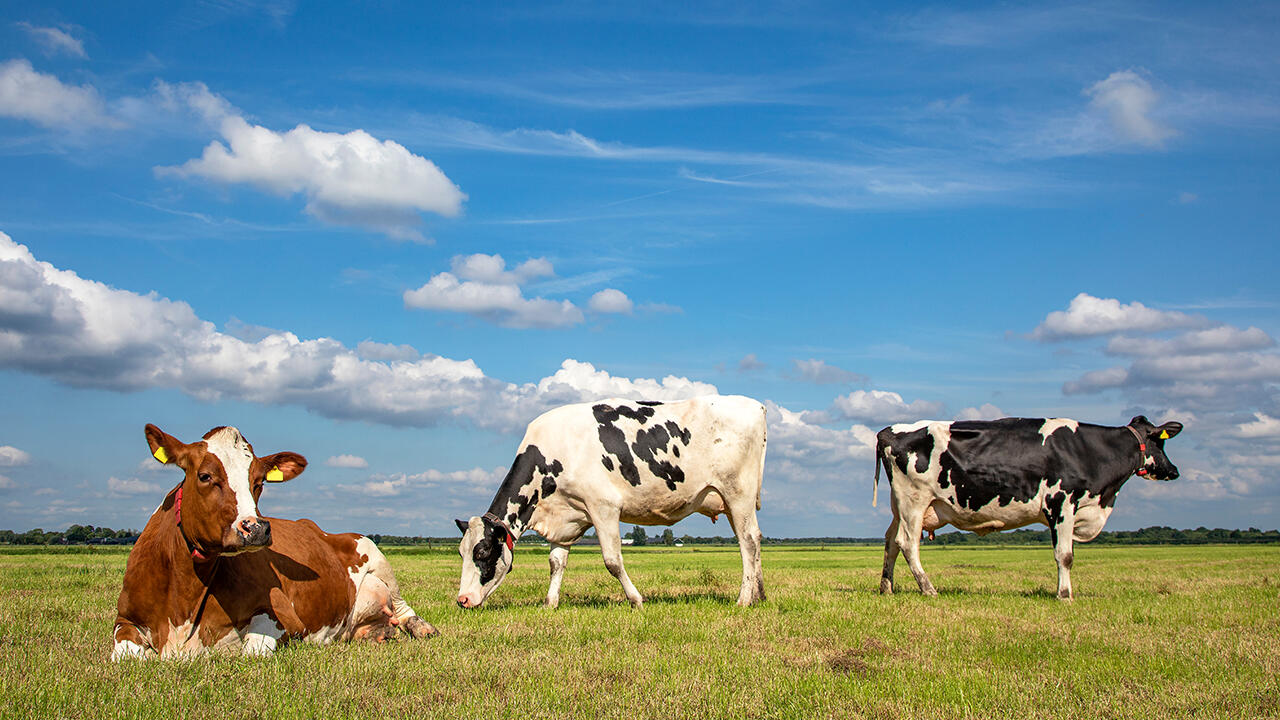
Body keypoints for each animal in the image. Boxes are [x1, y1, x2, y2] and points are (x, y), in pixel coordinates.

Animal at [111, 422, 440, 661]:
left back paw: (422, 628)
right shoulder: (124, 619)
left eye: (259, 482)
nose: (255, 528)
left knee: (402, 608)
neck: (185, 594)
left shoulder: (284, 618)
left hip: (375, 554)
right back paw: (377, 634)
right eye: (204, 476)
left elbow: (251, 653)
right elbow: (126, 656)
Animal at [455, 394, 762, 607]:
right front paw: (550, 603)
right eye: (461, 552)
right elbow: (556, 562)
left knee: (747, 542)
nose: (463, 600)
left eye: (482, 552)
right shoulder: (567, 517)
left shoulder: (603, 507)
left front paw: (636, 600)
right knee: (755, 539)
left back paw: (743, 600)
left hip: (738, 494)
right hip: (734, 502)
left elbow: (612, 561)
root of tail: (755, 405)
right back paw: (759, 595)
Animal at [875, 412, 1182, 597]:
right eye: (1160, 443)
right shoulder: (1061, 502)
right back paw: (928, 589)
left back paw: (887, 587)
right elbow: (1065, 555)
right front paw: (1064, 595)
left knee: (890, 541)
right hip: (914, 500)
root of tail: (888, 431)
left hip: (899, 505)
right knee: (907, 542)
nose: (1174, 471)